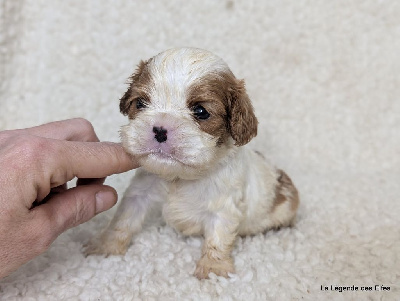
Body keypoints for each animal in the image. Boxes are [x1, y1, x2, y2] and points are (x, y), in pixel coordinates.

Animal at [87, 47, 300, 278]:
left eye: (200, 111)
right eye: (140, 103)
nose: (160, 129)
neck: (180, 177)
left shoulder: (224, 208)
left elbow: (218, 239)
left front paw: (213, 268)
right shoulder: (139, 194)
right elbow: (123, 221)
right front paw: (105, 247)